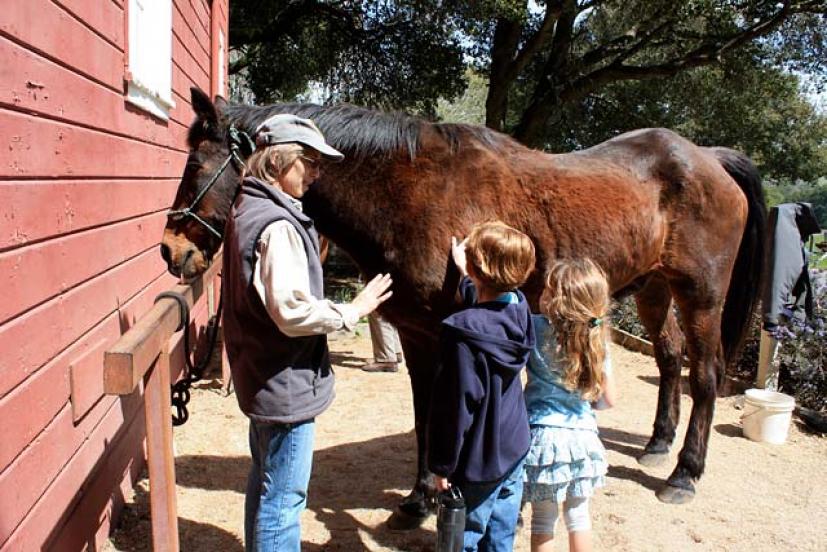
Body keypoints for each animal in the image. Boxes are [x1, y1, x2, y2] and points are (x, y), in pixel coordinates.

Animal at [161, 87, 766, 513]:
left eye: (195, 165)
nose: (171, 250)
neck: (408, 190)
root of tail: (707, 157)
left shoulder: (444, 329)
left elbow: (443, 409)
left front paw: (433, 493)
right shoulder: (417, 333)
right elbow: (425, 410)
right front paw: (421, 497)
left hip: (702, 297)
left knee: (704, 375)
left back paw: (684, 474)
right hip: (655, 291)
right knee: (668, 360)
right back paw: (658, 444)